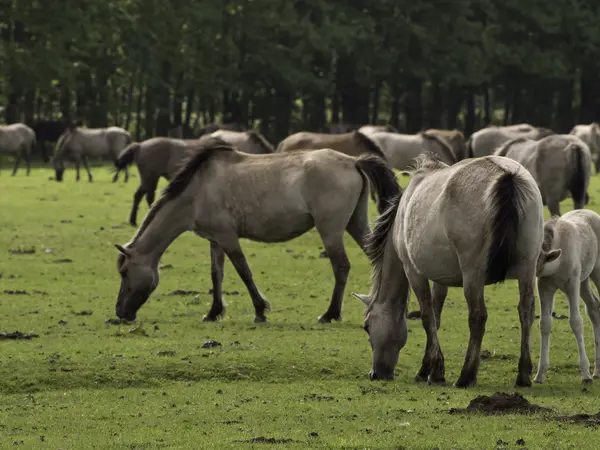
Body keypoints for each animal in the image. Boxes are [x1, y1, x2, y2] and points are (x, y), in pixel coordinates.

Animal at [115, 136, 400, 324]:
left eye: (124, 272)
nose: (120, 313)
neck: (197, 191)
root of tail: (353, 161)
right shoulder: (215, 240)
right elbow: (216, 275)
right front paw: (214, 312)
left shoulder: (229, 238)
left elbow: (244, 272)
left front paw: (260, 310)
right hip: (356, 224)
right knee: (376, 258)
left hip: (330, 231)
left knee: (341, 266)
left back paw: (330, 314)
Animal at [352, 153, 544, 388]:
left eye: (367, 326)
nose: (376, 374)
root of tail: (507, 175)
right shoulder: (440, 278)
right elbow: (437, 316)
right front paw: (429, 370)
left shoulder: (414, 272)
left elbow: (427, 318)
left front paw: (433, 370)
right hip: (527, 268)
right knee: (526, 311)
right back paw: (523, 375)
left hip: (473, 275)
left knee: (478, 317)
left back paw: (466, 376)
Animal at [536, 209, 600, 384]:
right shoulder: (544, 287)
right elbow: (545, 323)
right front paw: (540, 374)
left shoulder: (572, 284)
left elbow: (576, 322)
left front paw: (585, 374)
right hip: (583, 281)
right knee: (594, 307)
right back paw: (597, 371)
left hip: (594, 273)